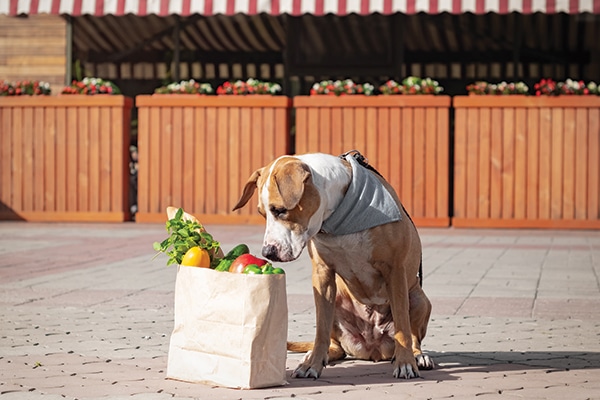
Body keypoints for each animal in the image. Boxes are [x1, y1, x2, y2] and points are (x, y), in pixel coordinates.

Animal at [232, 152, 434, 380]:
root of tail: (373, 349)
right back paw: (317, 354)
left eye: (280, 210)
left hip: (418, 297)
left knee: (413, 334)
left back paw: (417, 356)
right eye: (262, 213)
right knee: (334, 343)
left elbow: (402, 326)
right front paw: (312, 364)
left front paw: (405, 363)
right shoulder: (322, 275)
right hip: (337, 301)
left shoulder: (395, 270)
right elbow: (321, 329)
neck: (338, 220)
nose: (267, 252)